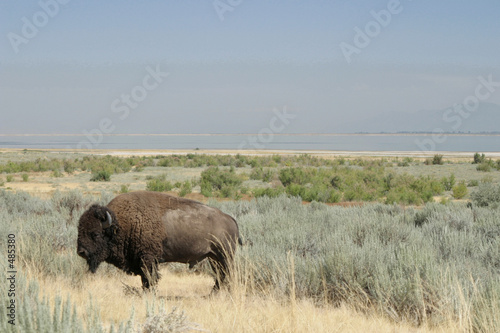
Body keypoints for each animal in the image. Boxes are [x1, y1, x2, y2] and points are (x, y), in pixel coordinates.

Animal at [77, 191, 241, 290]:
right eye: (79, 230)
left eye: (96, 234)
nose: (81, 252)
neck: (122, 224)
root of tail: (230, 219)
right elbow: (145, 279)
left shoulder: (148, 259)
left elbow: (150, 278)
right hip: (213, 257)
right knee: (220, 275)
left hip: (224, 256)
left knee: (227, 274)